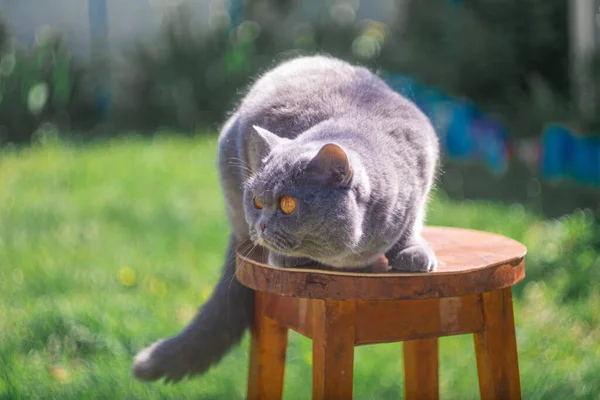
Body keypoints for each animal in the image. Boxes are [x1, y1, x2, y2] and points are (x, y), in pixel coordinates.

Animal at [134, 54, 438, 382]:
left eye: (288, 204)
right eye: (256, 201)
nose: (261, 224)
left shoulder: (423, 170)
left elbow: (409, 224)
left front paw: (412, 253)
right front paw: (286, 258)